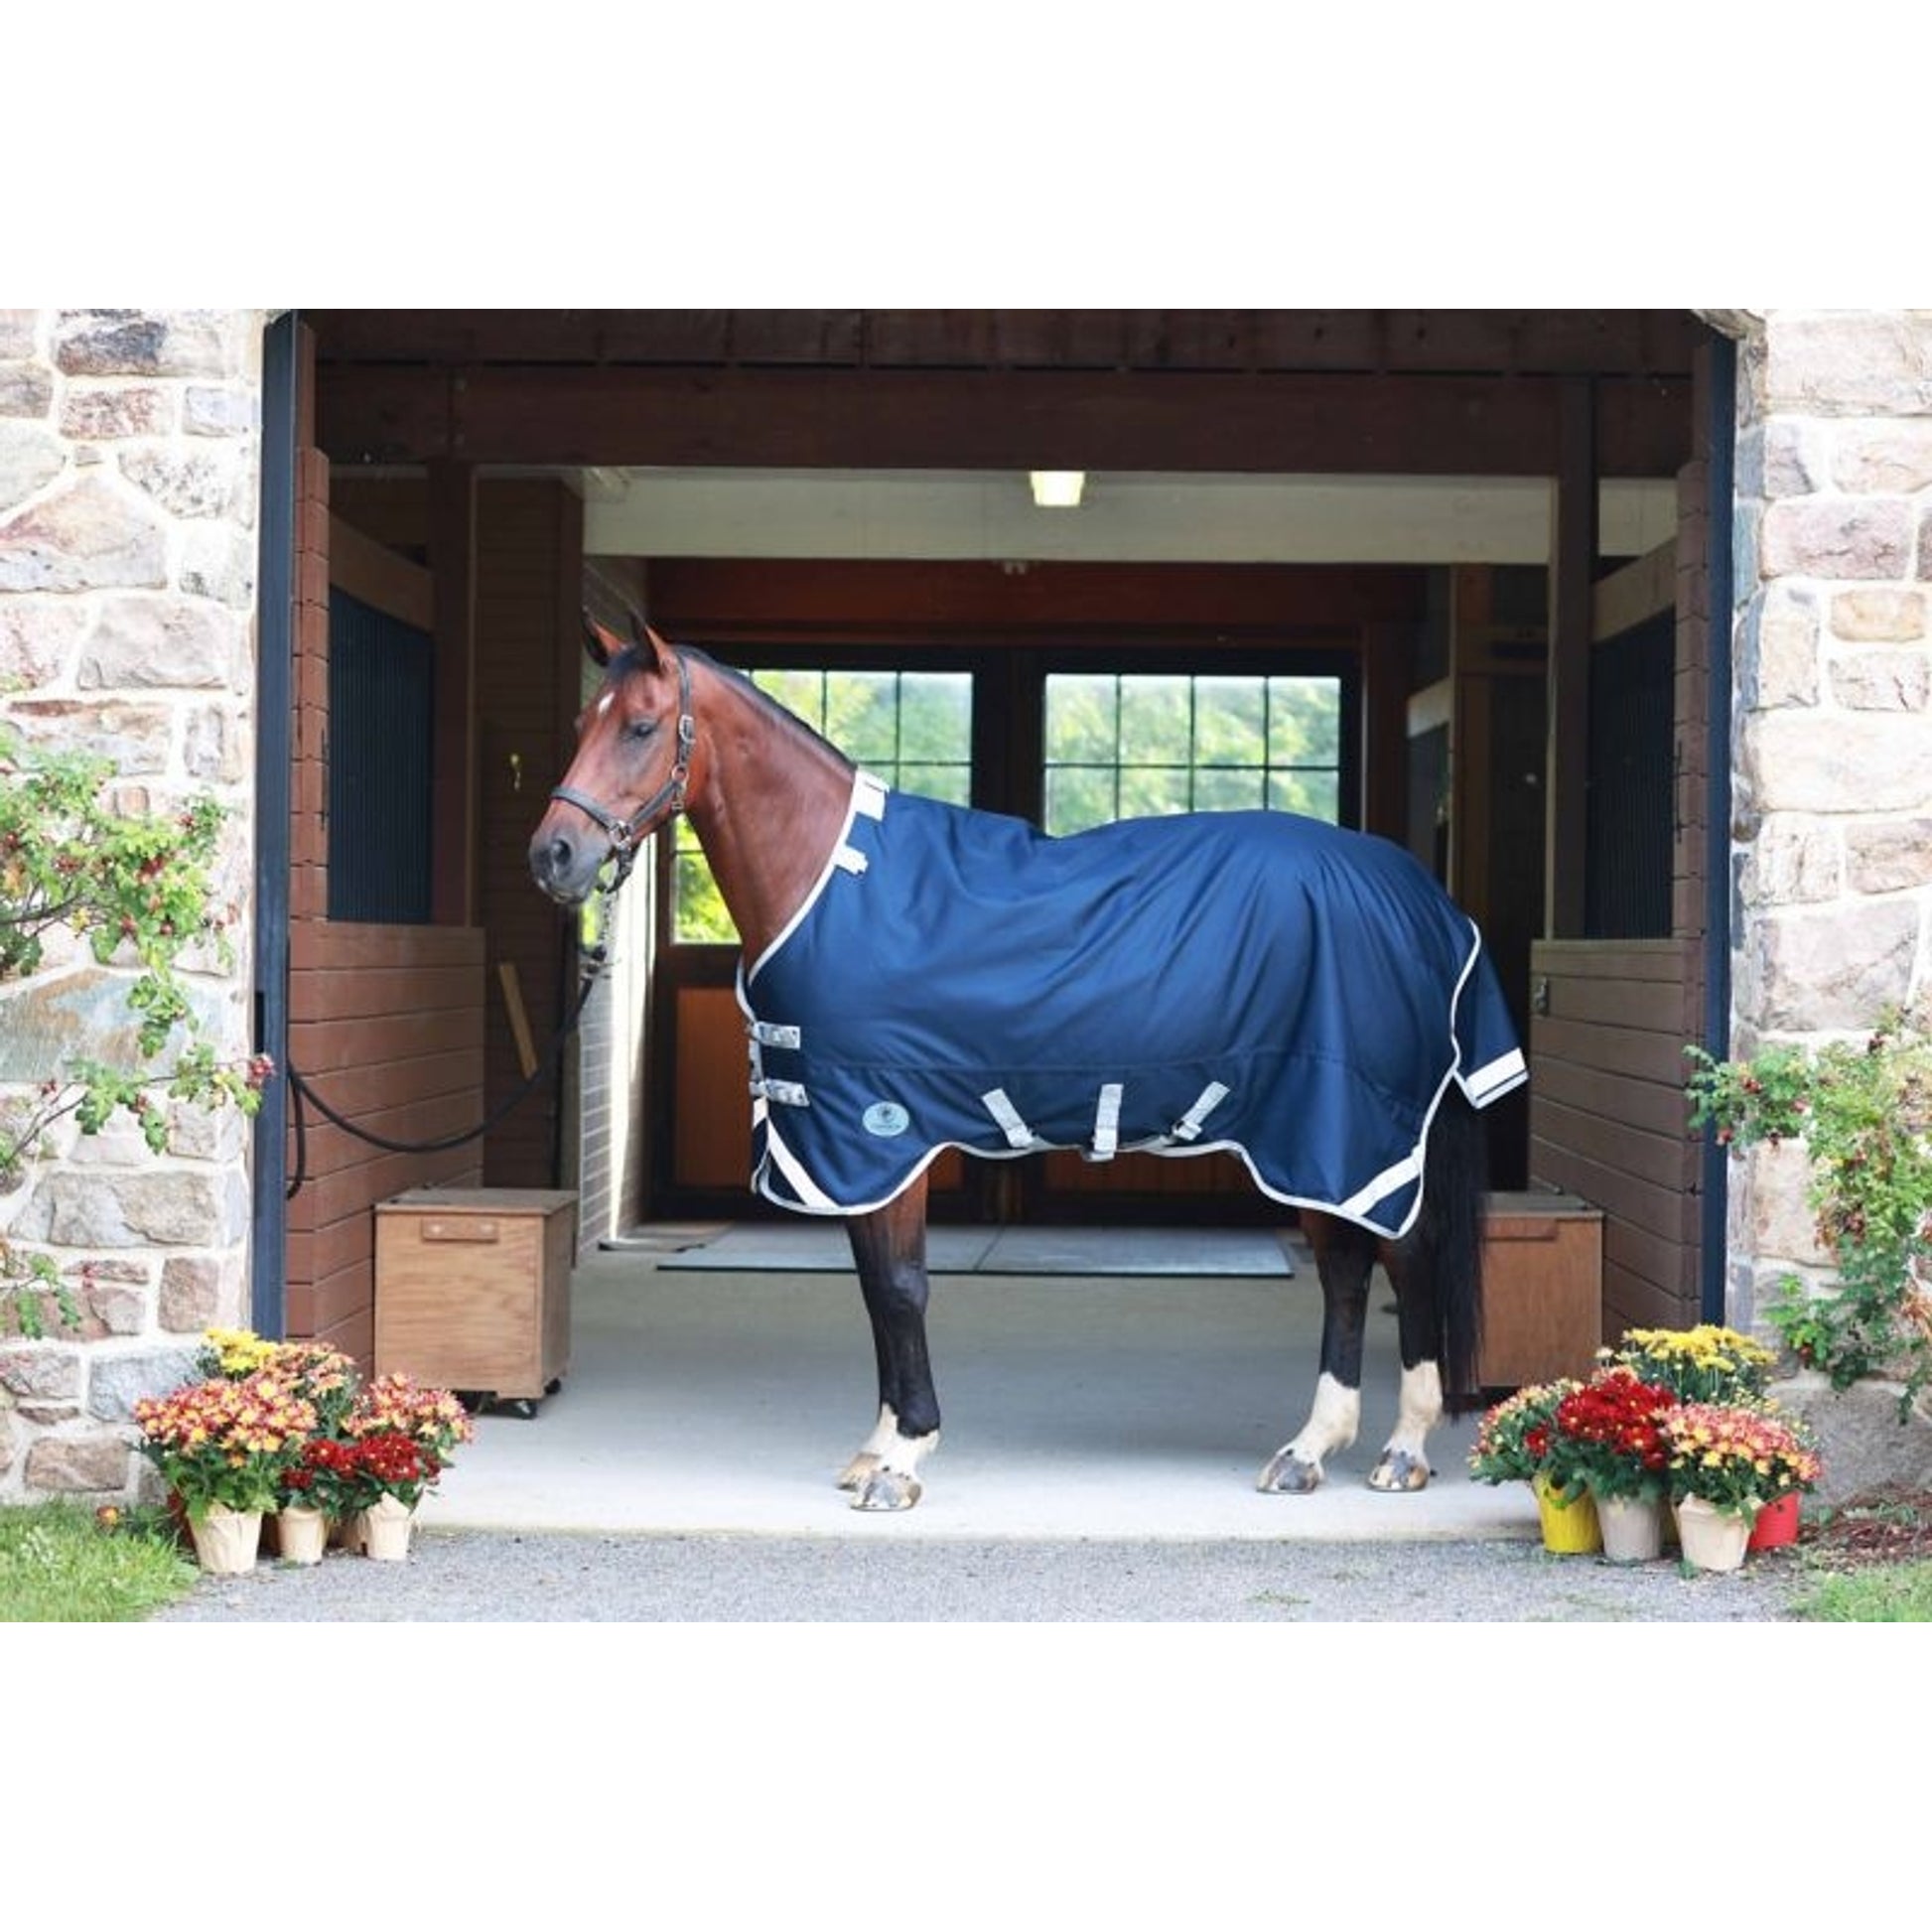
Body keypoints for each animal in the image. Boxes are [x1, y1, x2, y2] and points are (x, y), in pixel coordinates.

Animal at [529, 614, 1527, 1512]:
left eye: (641, 726)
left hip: (1346, 1133)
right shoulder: (853, 1148)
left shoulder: (882, 1133)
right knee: (1347, 1272)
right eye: (580, 722)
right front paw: (877, 1447)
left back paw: (1401, 1450)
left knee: (1402, 1260)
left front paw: (904, 1460)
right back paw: (1309, 1451)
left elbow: (900, 1289)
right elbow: (874, 1291)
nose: (554, 855)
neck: (832, 877)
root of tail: (1423, 899)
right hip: (1305, 1140)